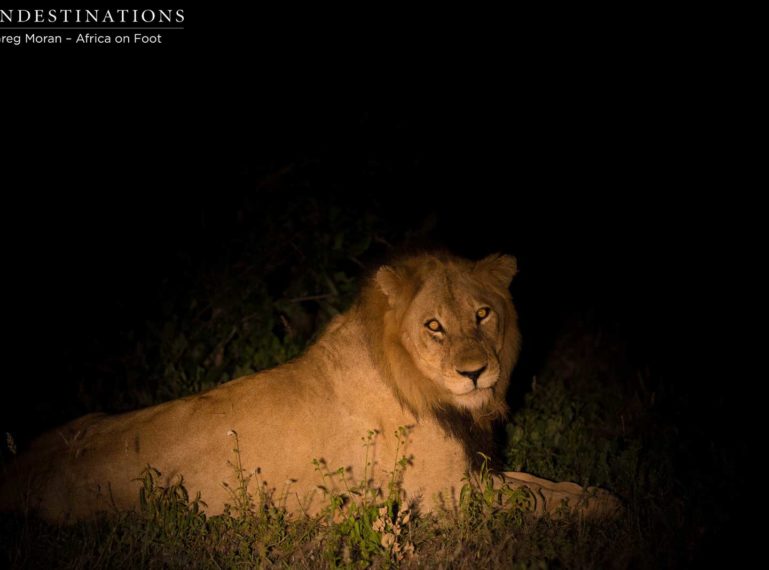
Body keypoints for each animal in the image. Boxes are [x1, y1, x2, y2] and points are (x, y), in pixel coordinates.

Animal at [0, 253, 616, 520]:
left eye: (483, 314)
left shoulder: (477, 473)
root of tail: (18, 473)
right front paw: (609, 508)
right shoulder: (448, 494)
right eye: (434, 326)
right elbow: (536, 496)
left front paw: (595, 492)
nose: (475, 372)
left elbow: (542, 480)